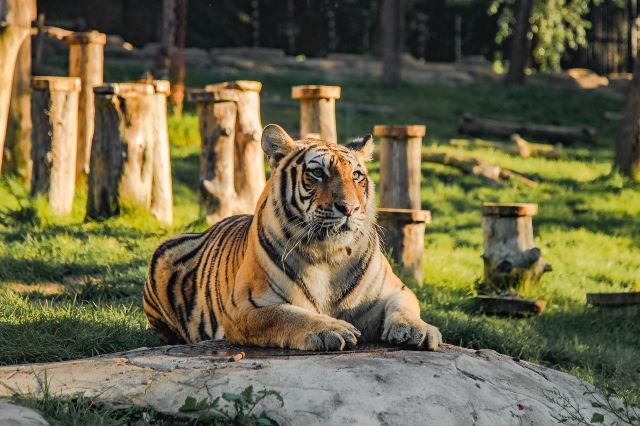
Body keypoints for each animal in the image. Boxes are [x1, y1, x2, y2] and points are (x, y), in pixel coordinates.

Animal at [143, 124, 442, 351]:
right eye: (318, 173)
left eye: (357, 176)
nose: (349, 208)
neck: (329, 255)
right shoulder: (245, 306)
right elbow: (287, 316)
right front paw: (331, 329)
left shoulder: (395, 289)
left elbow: (405, 308)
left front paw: (419, 330)